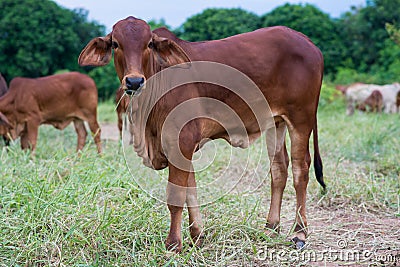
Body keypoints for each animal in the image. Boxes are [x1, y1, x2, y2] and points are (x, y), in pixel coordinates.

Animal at [79, 17, 324, 253]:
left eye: (148, 44)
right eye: (115, 44)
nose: (134, 81)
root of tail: (306, 42)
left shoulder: (181, 140)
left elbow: (176, 196)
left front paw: (173, 244)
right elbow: (191, 190)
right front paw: (197, 235)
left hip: (301, 119)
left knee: (301, 170)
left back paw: (300, 233)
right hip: (276, 122)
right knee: (279, 169)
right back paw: (271, 227)